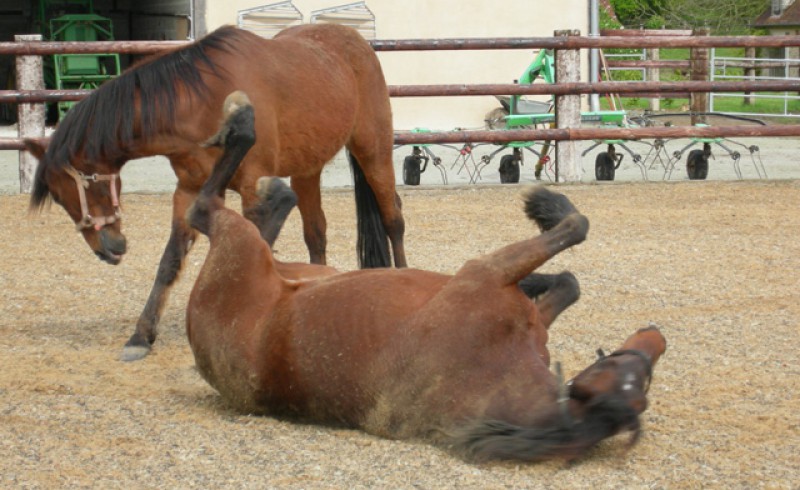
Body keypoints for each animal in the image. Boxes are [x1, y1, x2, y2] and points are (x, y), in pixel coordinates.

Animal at [25, 23, 406, 360]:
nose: (108, 249)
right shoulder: (189, 191)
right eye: (58, 198)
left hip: (374, 153)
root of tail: (355, 39)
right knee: (316, 234)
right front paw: (141, 335)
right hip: (307, 171)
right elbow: (170, 261)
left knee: (393, 220)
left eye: (72, 190)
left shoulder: (254, 189)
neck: (198, 101)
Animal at [184, 92, 664, 464]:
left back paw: (248, 137)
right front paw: (544, 233)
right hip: (299, 267)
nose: (657, 337)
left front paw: (545, 207)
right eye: (627, 365)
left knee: (205, 210)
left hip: (240, 246)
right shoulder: (498, 285)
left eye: (641, 375)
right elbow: (569, 271)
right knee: (241, 216)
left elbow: (575, 232)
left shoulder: (483, 274)